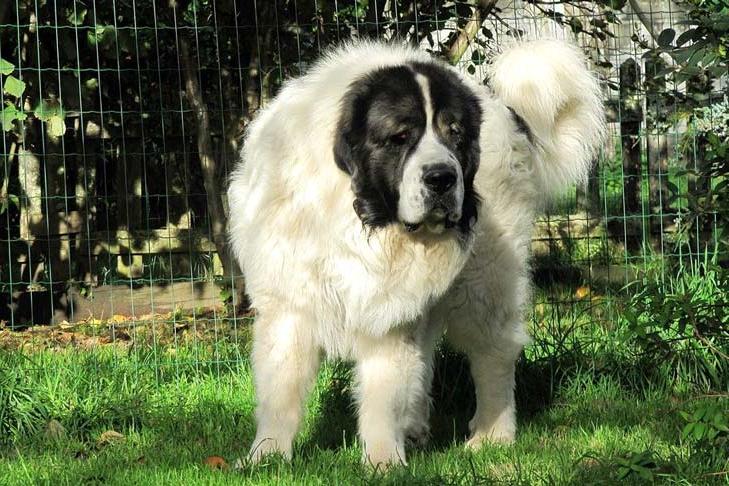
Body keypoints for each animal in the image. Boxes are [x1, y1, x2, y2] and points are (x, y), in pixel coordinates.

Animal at [228, 39, 604, 468]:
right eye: (400, 136)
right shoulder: (290, 305)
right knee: (425, 353)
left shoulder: (388, 313)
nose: (442, 178)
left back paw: (492, 434)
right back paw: (415, 427)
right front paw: (267, 455)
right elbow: (282, 389)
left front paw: (382, 462)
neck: (362, 220)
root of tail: (500, 106)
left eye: (454, 135)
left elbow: (382, 392)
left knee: (493, 352)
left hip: (484, 279)